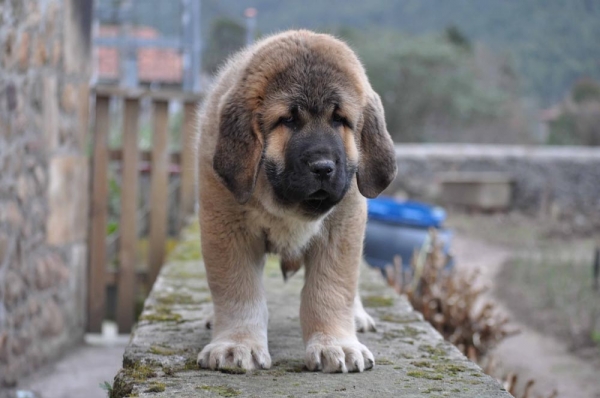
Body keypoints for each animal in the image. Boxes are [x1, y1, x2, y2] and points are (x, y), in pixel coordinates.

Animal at [195, 28, 396, 374]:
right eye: (287, 120)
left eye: (340, 119)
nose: (323, 167)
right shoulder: (226, 226)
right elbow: (237, 289)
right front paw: (237, 343)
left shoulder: (342, 226)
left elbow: (331, 289)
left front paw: (336, 343)